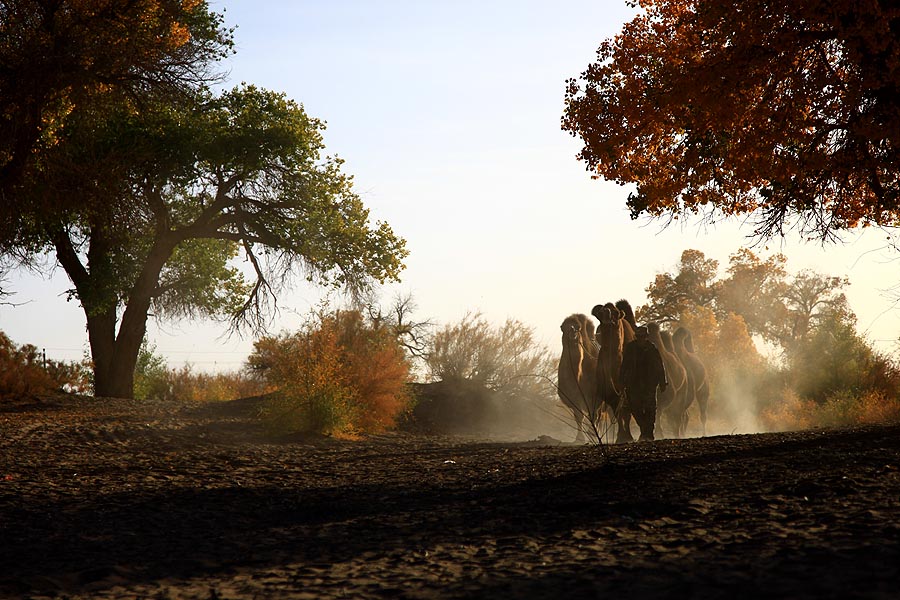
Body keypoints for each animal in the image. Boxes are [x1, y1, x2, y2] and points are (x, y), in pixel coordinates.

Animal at [556, 312, 596, 442]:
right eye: (563, 328)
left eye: (578, 328)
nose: (572, 330)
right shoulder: (572, 397)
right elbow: (579, 416)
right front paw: (580, 438)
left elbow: (593, 414)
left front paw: (592, 434)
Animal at [596, 302, 636, 442]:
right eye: (599, 315)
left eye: (616, 313)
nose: (607, 315)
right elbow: (616, 406)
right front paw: (621, 436)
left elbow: (627, 410)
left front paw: (627, 436)